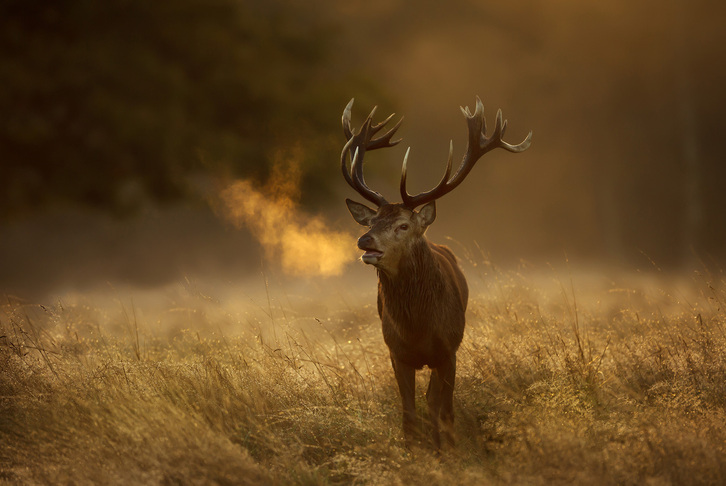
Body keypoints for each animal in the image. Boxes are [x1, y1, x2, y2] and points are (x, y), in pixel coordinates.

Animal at [342, 97, 536, 450]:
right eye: (372, 221)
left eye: (403, 226)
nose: (365, 240)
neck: (417, 328)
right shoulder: (396, 352)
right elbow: (408, 414)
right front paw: (415, 451)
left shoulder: (448, 350)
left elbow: (443, 409)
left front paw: (448, 450)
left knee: (439, 403)